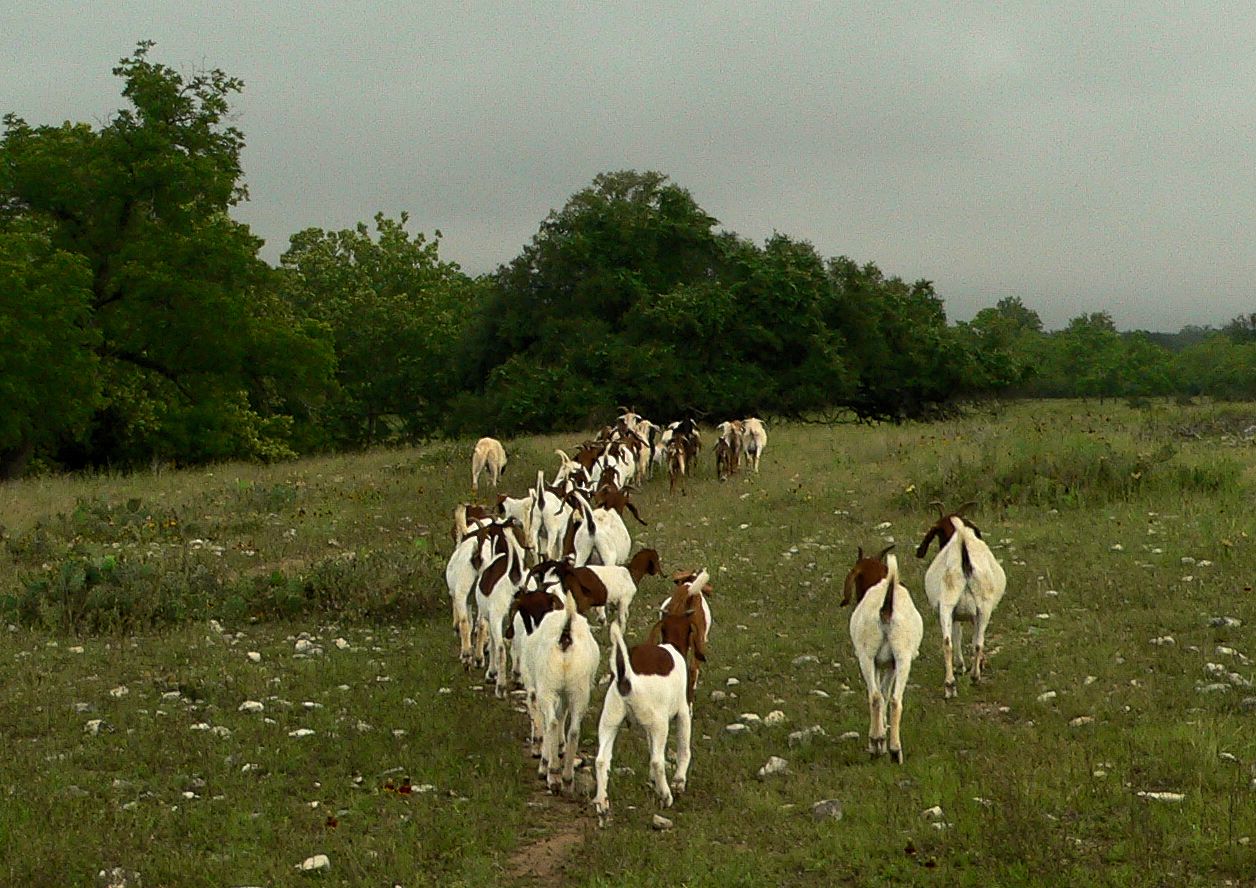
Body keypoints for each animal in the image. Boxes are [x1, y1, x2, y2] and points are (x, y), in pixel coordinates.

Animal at [844, 545, 924, 758]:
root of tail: (886, 607)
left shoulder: (883, 664)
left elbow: (883, 693)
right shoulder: (889, 665)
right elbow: (885, 693)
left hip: (870, 658)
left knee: (878, 697)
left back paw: (883, 745)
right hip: (898, 658)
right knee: (891, 699)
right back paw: (888, 747)